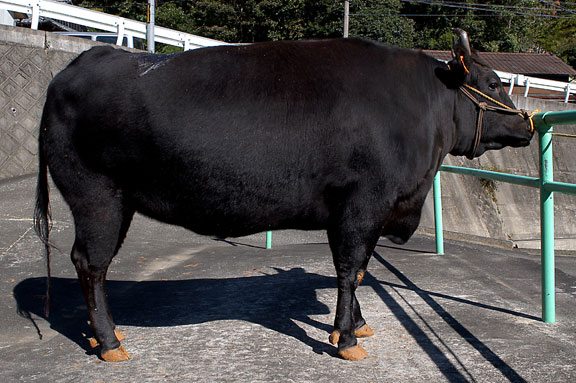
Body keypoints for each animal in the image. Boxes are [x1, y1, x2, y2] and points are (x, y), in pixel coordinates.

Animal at [33, 30, 532, 364]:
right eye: (493, 84)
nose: (527, 125)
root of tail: (85, 59)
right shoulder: (362, 204)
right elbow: (351, 269)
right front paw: (347, 340)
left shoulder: (351, 211)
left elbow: (359, 270)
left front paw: (357, 325)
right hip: (96, 197)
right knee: (91, 263)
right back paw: (110, 343)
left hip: (116, 203)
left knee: (92, 267)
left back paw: (102, 334)